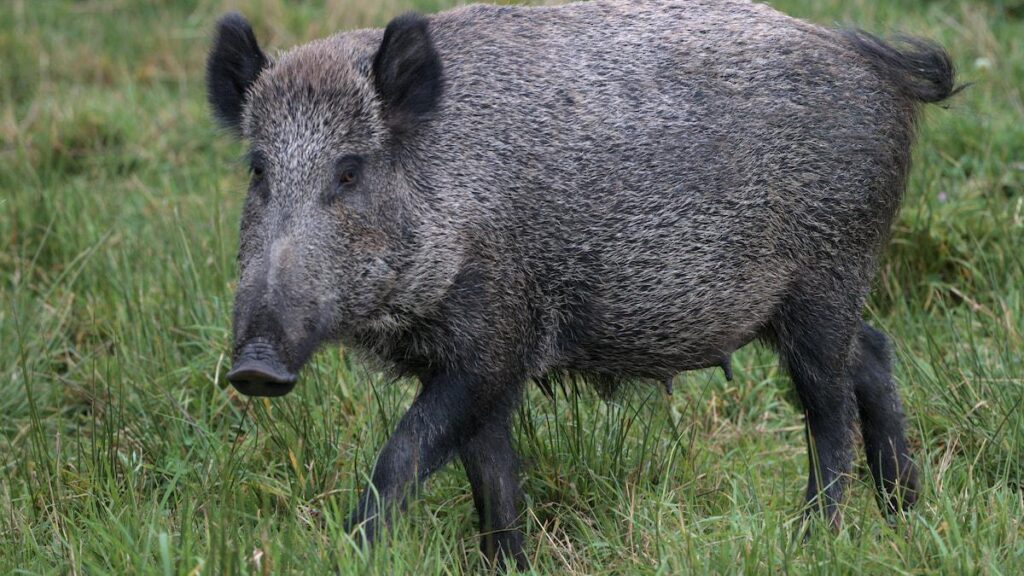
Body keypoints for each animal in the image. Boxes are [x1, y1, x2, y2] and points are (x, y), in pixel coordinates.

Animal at [207, 0, 959, 568]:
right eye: (257, 169)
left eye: (350, 170)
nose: (254, 368)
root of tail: (882, 69)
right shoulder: (479, 367)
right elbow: (493, 477)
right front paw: (508, 562)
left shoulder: (495, 341)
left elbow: (405, 454)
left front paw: (350, 549)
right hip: (815, 299)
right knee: (873, 353)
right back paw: (905, 516)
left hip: (826, 280)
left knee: (830, 411)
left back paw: (811, 539)